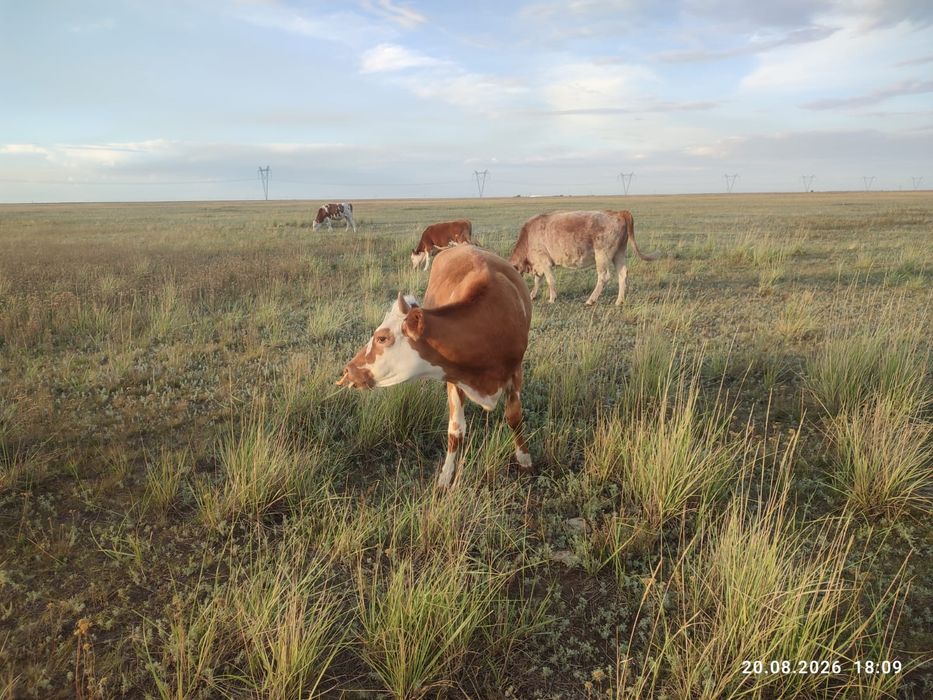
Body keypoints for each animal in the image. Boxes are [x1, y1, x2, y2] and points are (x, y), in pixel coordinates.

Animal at [337, 245, 533, 489]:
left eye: (382, 338)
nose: (348, 370)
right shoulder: (453, 378)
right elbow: (456, 430)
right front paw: (446, 475)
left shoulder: (516, 370)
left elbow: (514, 417)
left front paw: (524, 459)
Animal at [508, 209, 657, 305]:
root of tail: (617, 213)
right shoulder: (539, 265)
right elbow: (538, 280)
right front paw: (532, 295)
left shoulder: (544, 261)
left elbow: (549, 280)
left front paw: (552, 299)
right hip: (619, 253)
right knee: (623, 274)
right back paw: (619, 301)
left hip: (602, 255)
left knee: (604, 276)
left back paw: (591, 300)